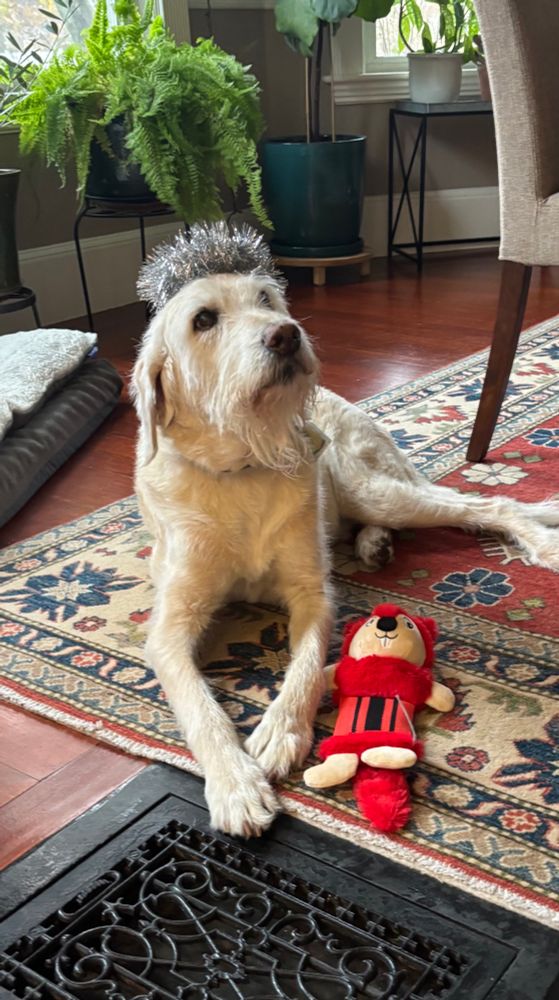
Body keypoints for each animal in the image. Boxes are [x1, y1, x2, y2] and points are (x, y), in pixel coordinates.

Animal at [132, 266, 559, 838]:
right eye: (203, 320)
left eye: (266, 299)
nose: (286, 335)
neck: (243, 465)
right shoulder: (170, 627)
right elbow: (198, 705)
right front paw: (234, 783)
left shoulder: (313, 595)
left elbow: (307, 668)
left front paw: (281, 732)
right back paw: (373, 543)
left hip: (374, 489)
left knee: (490, 503)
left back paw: (539, 540)